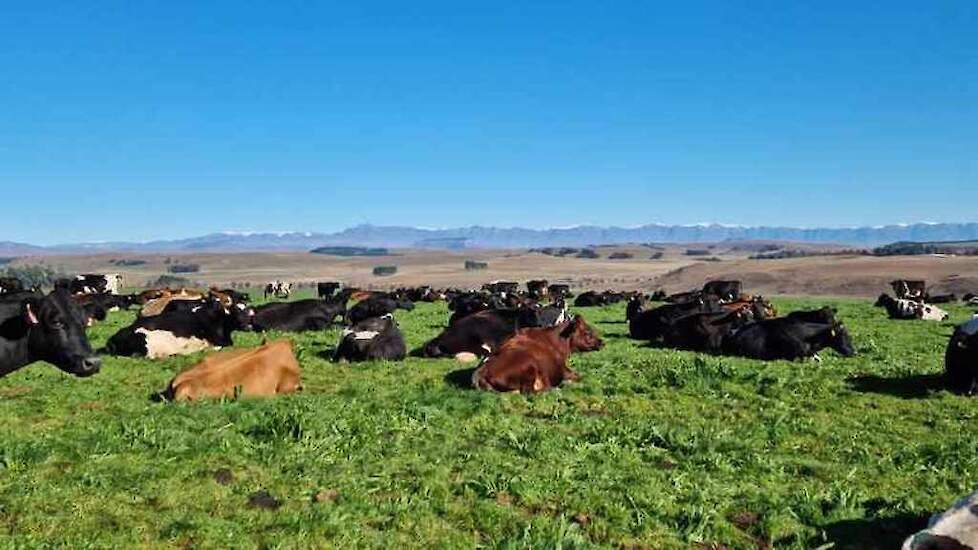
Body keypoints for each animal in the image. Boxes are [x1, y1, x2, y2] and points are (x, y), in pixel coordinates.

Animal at [472, 314, 604, 396]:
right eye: (587, 332)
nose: (602, 342)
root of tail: (482, 370)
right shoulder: (562, 369)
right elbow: (580, 376)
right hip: (528, 366)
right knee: (530, 392)